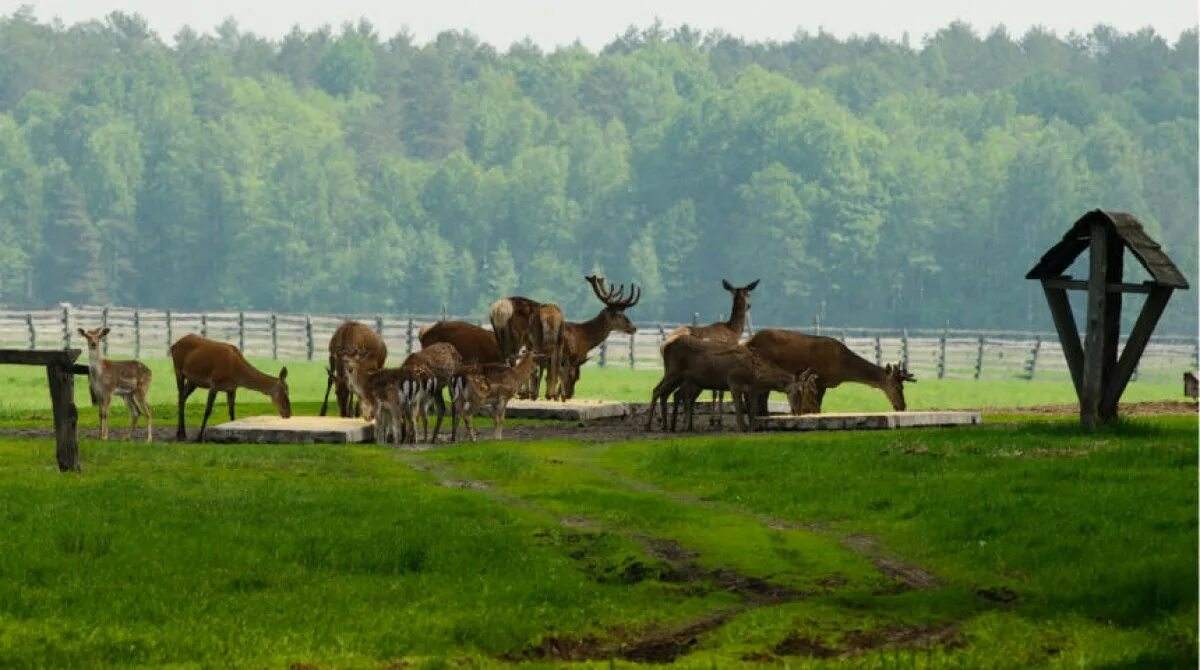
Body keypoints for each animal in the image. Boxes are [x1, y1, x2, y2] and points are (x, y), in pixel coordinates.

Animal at [648, 336, 806, 437]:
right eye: (798, 390)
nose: (797, 411)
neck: (756, 376)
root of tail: (665, 347)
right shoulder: (733, 382)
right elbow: (739, 407)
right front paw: (741, 428)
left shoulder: (752, 390)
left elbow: (752, 410)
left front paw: (752, 428)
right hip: (674, 372)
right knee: (657, 391)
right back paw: (650, 425)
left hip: (681, 378)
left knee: (667, 393)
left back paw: (671, 426)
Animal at [662, 278, 753, 425]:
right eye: (749, 294)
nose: (749, 305)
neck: (734, 331)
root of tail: (664, 345)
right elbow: (718, 392)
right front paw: (716, 419)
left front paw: (714, 418)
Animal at [744, 328, 912, 413]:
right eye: (897, 387)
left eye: (904, 386)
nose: (902, 406)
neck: (843, 368)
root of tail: (748, 341)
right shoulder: (820, 379)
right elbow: (817, 407)